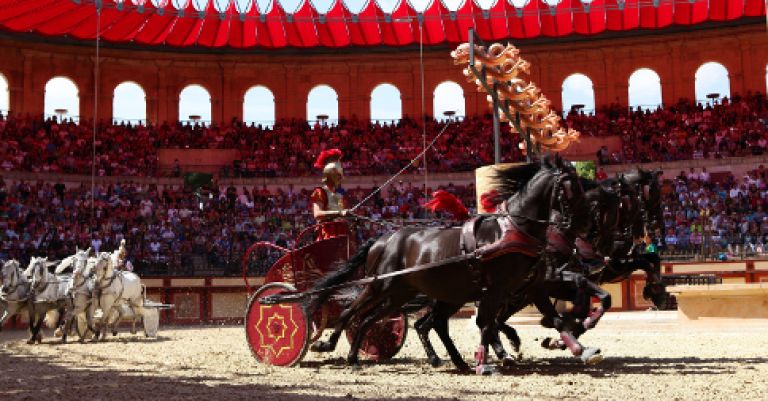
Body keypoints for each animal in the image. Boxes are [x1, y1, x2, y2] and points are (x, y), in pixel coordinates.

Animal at [308, 155, 584, 372]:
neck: (514, 230)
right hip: (381, 286)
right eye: (571, 187)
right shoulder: (497, 290)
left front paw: (577, 347)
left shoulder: (530, 288)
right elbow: (487, 324)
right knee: (351, 311)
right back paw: (327, 344)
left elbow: (553, 319)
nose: (577, 227)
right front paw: (488, 361)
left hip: (406, 294)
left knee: (377, 320)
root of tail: (383, 239)